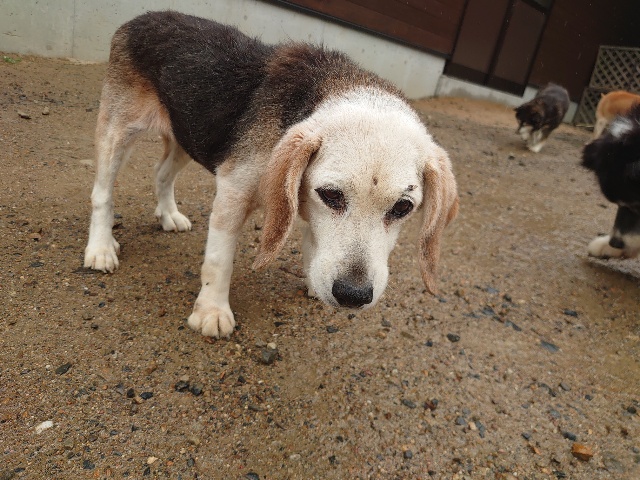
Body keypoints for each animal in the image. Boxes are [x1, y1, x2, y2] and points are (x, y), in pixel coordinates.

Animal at [83, 11, 459, 338]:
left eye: (402, 207)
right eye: (331, 195)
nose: (352, 295)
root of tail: (142, 17)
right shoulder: (233, 192)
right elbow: (219, 261)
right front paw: (212, 311)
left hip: (188, 133)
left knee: (161, 173)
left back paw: (168, 215)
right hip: (118, 130)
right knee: (102, 193)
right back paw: (101, 247)